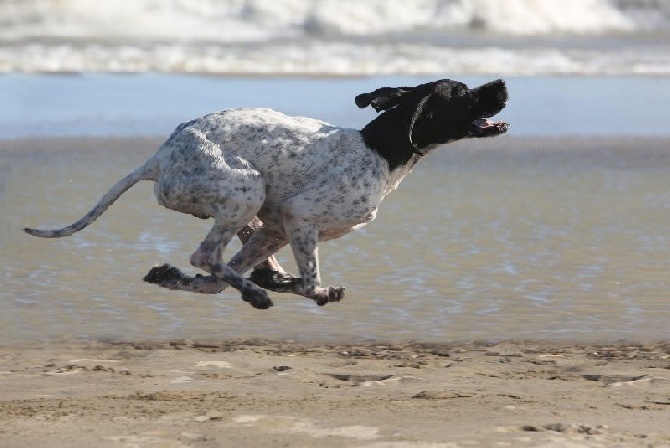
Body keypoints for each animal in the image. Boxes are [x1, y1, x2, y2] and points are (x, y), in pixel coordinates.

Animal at [25, 78, 510, 308]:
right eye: (463, 92)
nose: (503, 83)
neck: (380, 148)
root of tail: (159, 158)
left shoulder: (281, 226)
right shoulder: (300, 216)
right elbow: (311, 281)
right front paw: (312, 290)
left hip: (255, 215)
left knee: (213, 276)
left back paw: (214, 280)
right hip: (248, 190)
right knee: (206, 258)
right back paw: (256, 291)